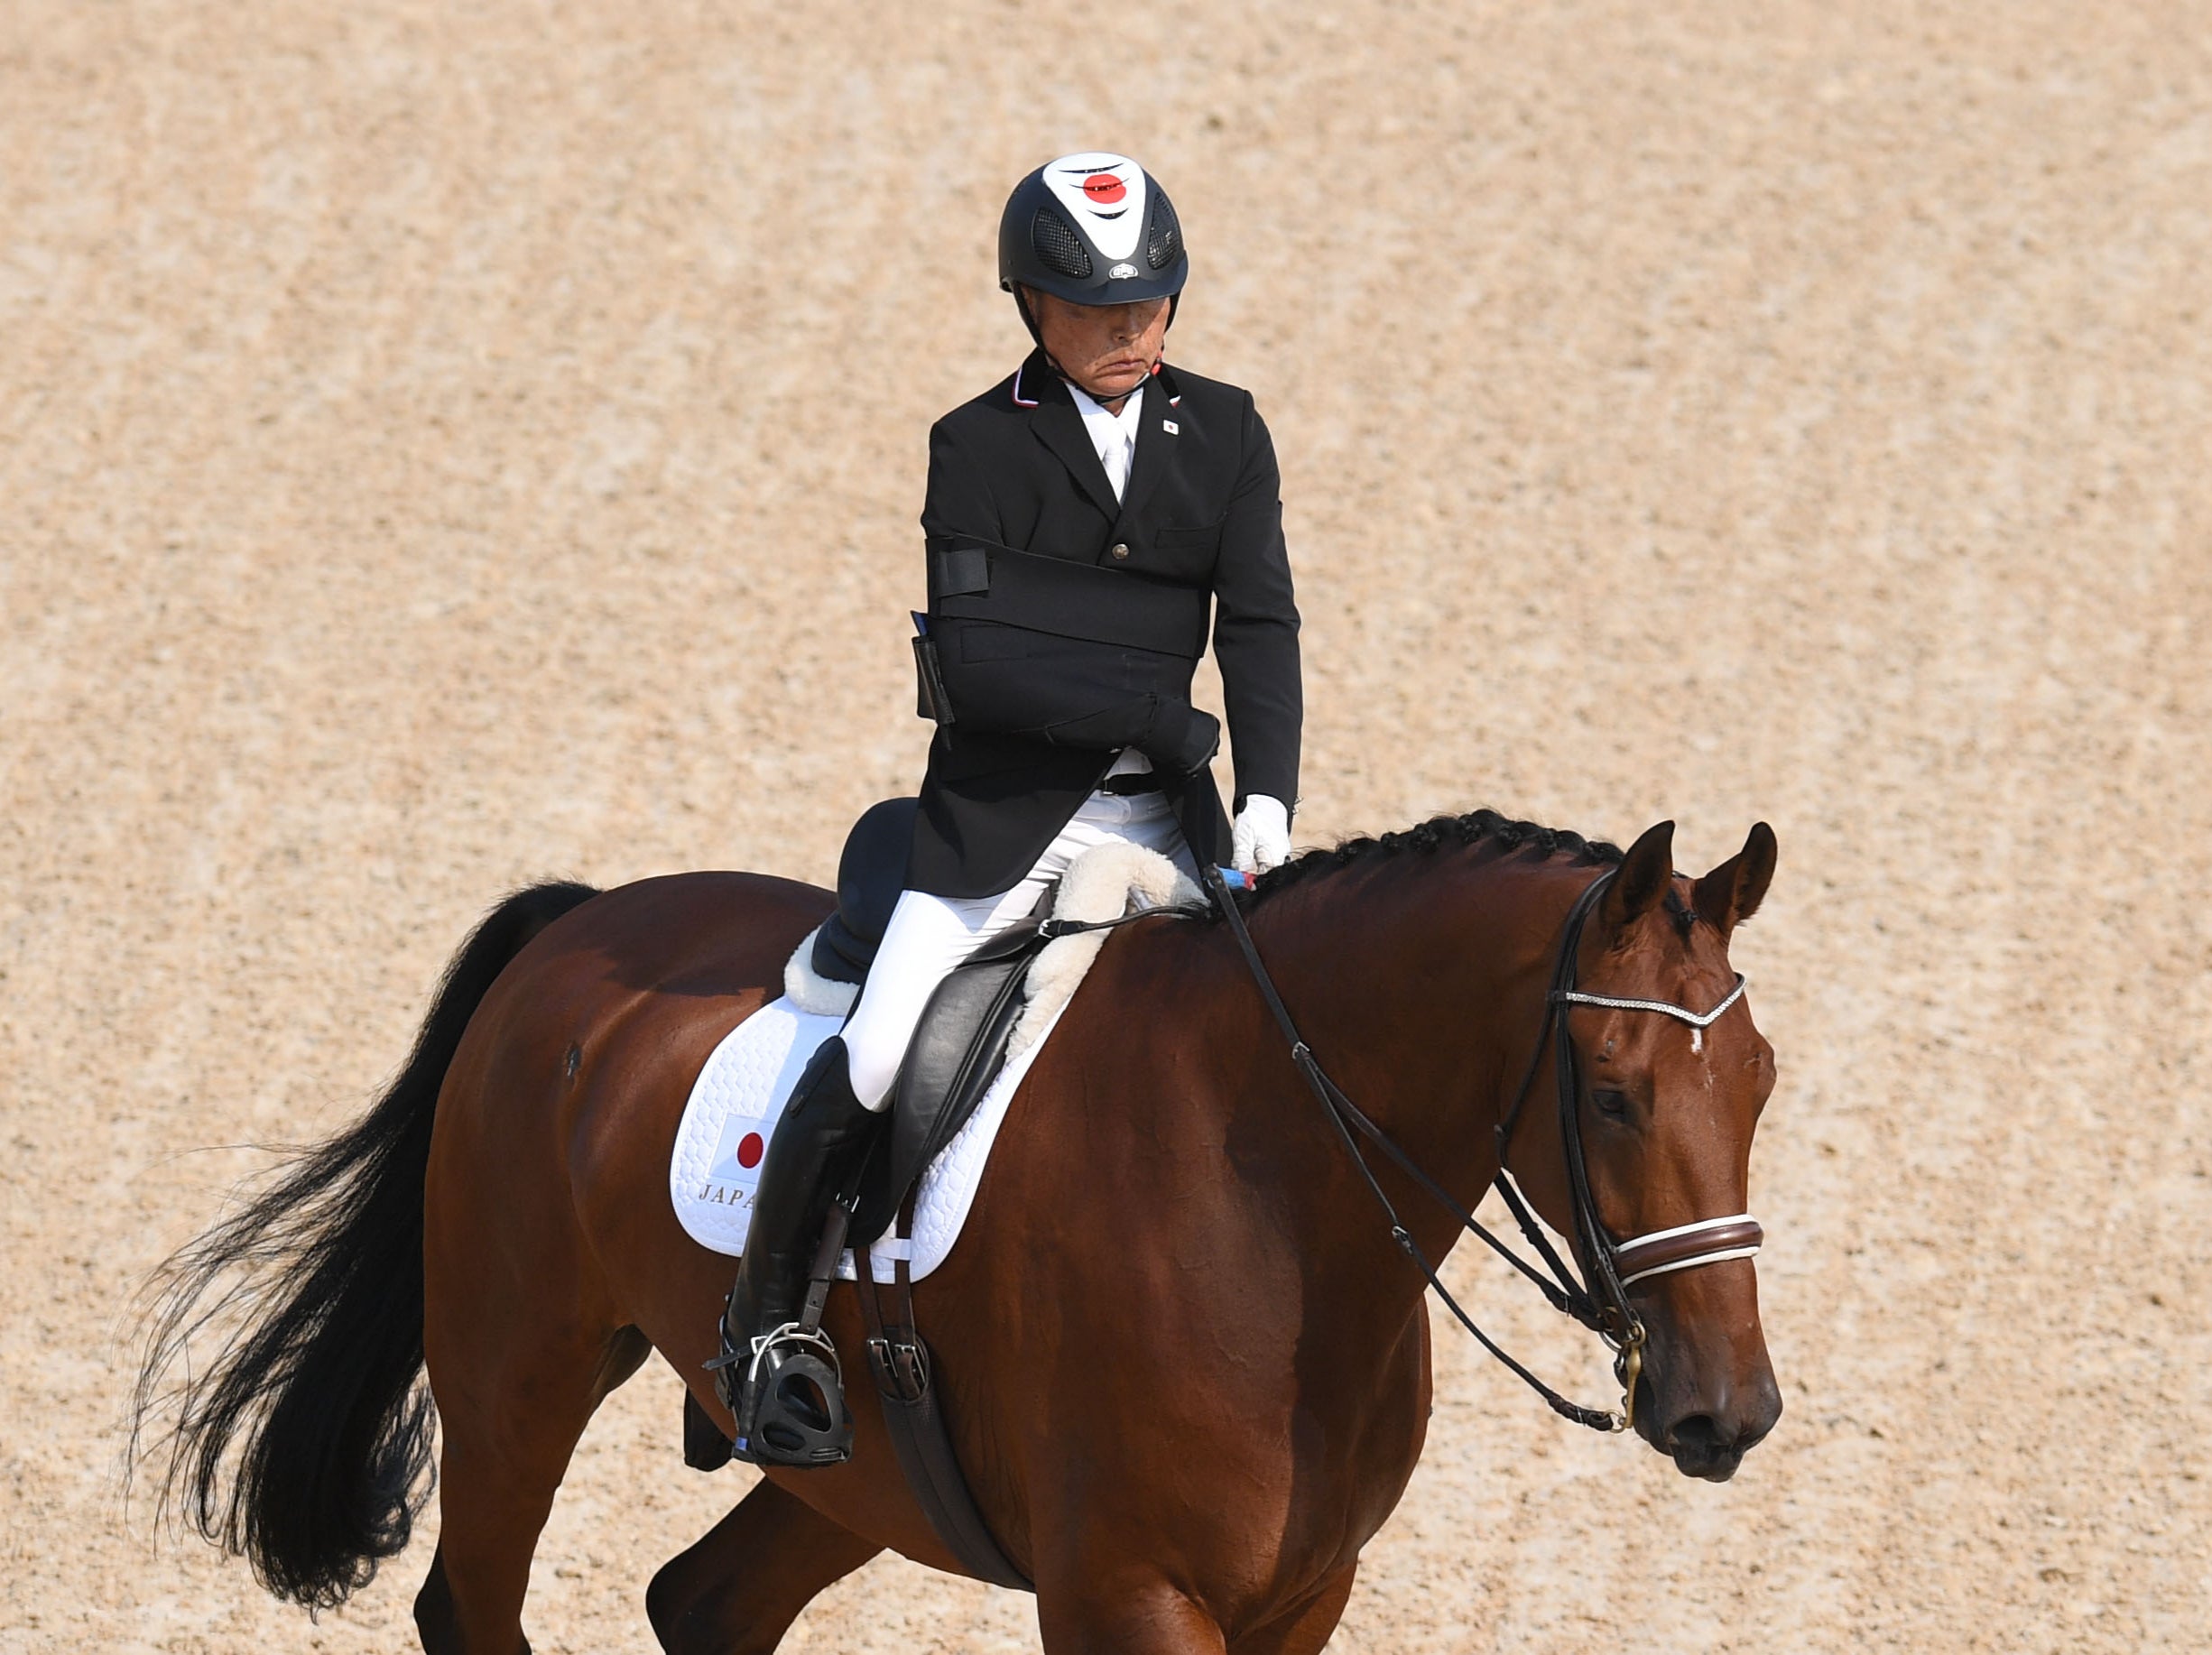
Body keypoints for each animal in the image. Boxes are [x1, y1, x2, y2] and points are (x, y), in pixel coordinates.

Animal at [134, 809, 1778, 1655]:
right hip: (517, 1372)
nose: (1728, 1410)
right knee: (472, 1598)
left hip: (855, 1461)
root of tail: (577, 924)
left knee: (702, 1602)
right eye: (1612, 1093)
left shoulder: (1304, 1593)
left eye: (1760, 1076)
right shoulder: (1126, 1596)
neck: (1285, 1206)